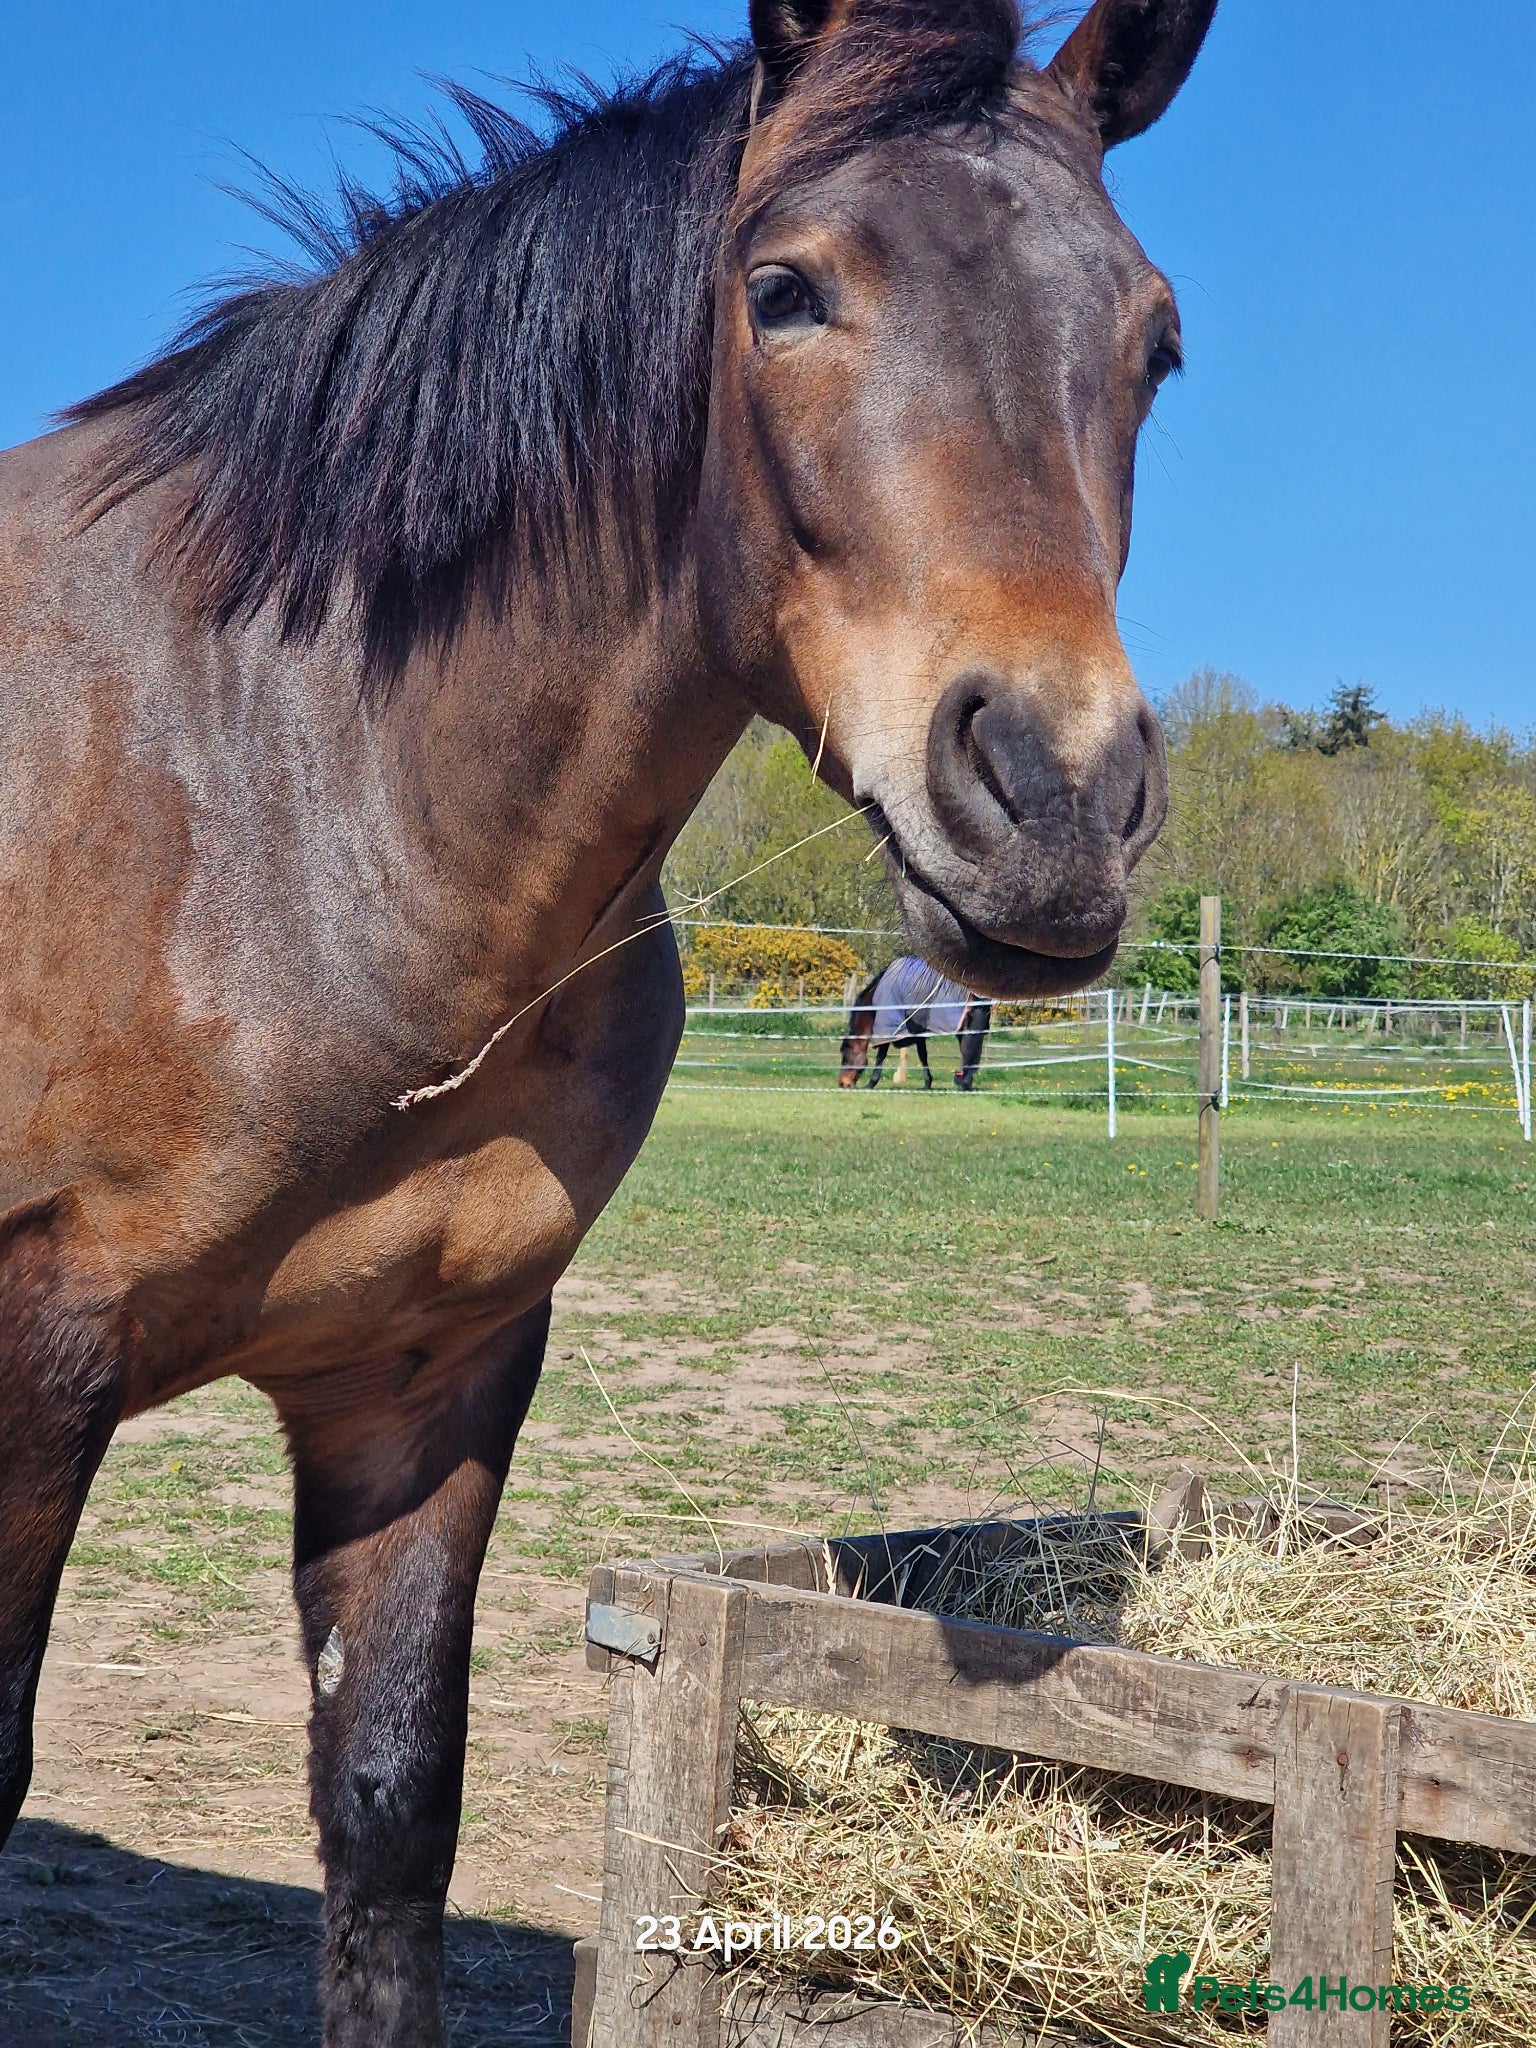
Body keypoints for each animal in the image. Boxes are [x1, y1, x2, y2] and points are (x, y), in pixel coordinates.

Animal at [839, 957, 994, 1091]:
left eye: (846, 1057)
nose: (842, 1084)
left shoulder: (888, 1026)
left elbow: (881, 1055)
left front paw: (871, 1083)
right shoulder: (917, 1030)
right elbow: (923, 1055)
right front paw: (927, 1083)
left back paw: (963, 1083)